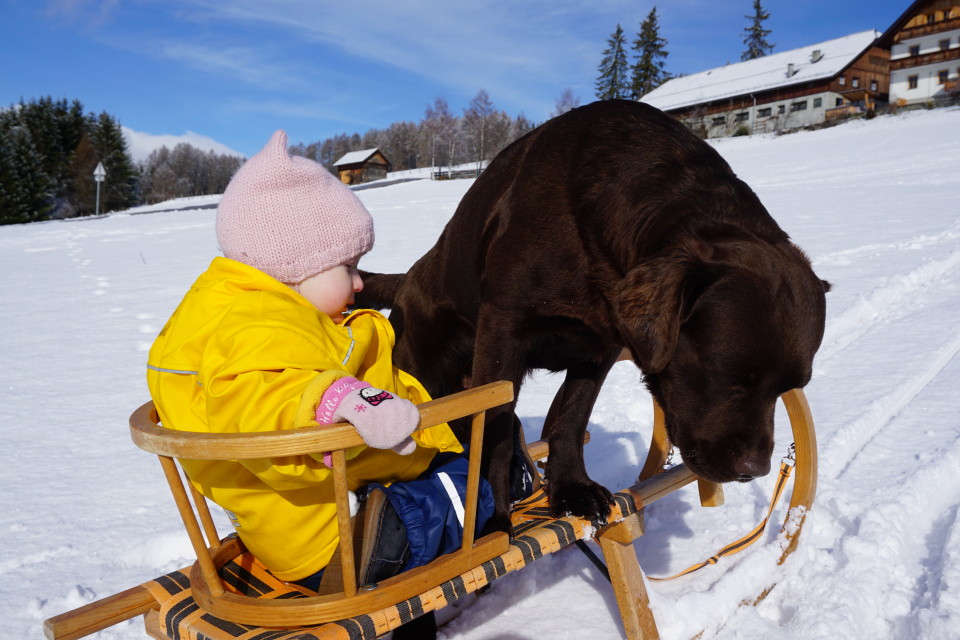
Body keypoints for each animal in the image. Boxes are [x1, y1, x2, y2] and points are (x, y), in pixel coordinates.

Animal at [356, 99, 828, 528]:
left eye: (790, 387)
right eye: (729, 379)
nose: (753, 471)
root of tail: (407, 279)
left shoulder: (602, 345)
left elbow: (571, 417)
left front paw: (571, 489)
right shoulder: (503, 327)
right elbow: (495, 429)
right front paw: (492, 522)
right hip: (427, 373)